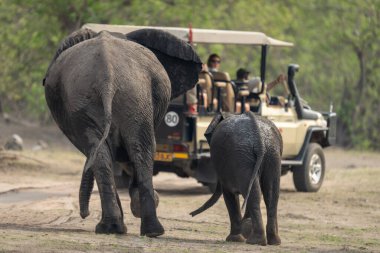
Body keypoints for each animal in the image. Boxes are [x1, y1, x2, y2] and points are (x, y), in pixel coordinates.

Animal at [43, 28, 203, 237]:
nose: (84, 214)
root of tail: (107, 75)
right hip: (120, 98)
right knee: (136, 151)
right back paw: (137, 229)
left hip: (126, 97)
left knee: (124, 151)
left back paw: (125, 228)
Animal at [190, 111, 282, 245]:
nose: (191, 214)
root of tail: (258, 138)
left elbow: (229, 195)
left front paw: (235, 239)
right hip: (272, 154)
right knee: (271, 194)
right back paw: (273, 241)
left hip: (243, 157)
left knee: (255, 194)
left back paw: (255, 241)